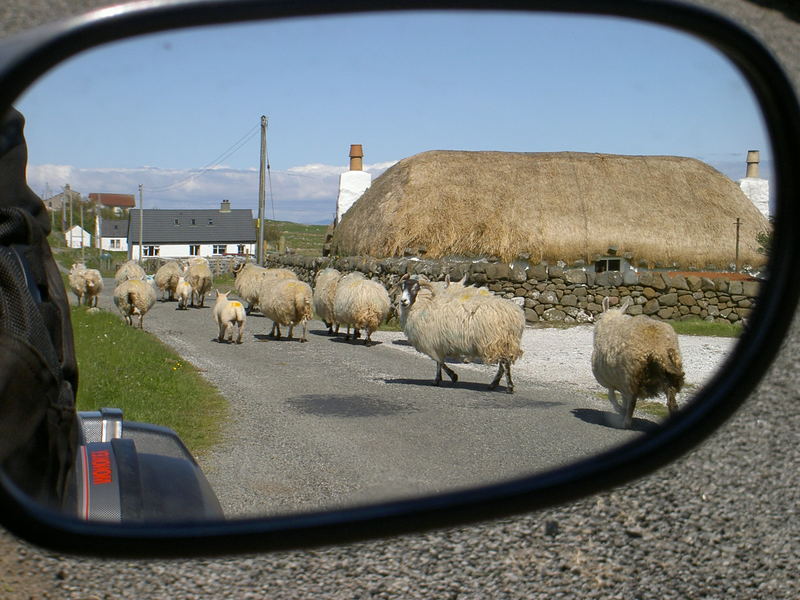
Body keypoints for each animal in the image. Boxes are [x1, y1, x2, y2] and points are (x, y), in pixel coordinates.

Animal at [592, 296, 684, 428]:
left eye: (599, 316)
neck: (610, 321)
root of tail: (658, 347)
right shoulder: (619, 380)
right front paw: (621, 409)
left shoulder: (612, 379)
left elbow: (612, 397)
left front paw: (620, 409)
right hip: (668, 375)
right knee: (672, 404)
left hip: (632, 373)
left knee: (632, 402)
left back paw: (626, 422)